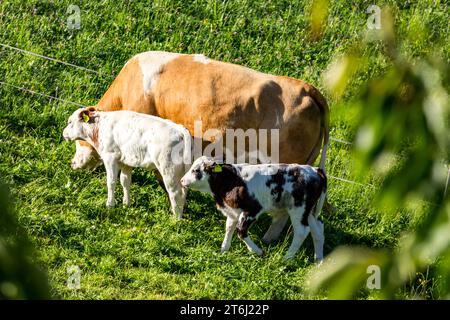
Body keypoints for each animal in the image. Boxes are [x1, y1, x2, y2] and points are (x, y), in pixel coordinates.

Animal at [179, 156, 326, 262]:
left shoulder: (252, 210)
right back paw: (318, 260)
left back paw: (286, 258)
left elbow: (241, 231)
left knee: (302, 231)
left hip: (298, 209)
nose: (181, 180)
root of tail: (314, 170)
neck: (232, 181)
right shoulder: (233, 212)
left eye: (196, 170)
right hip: (308, 211)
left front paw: (258, 251)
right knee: (318, 229)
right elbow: (229, 228)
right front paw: (224, 249)